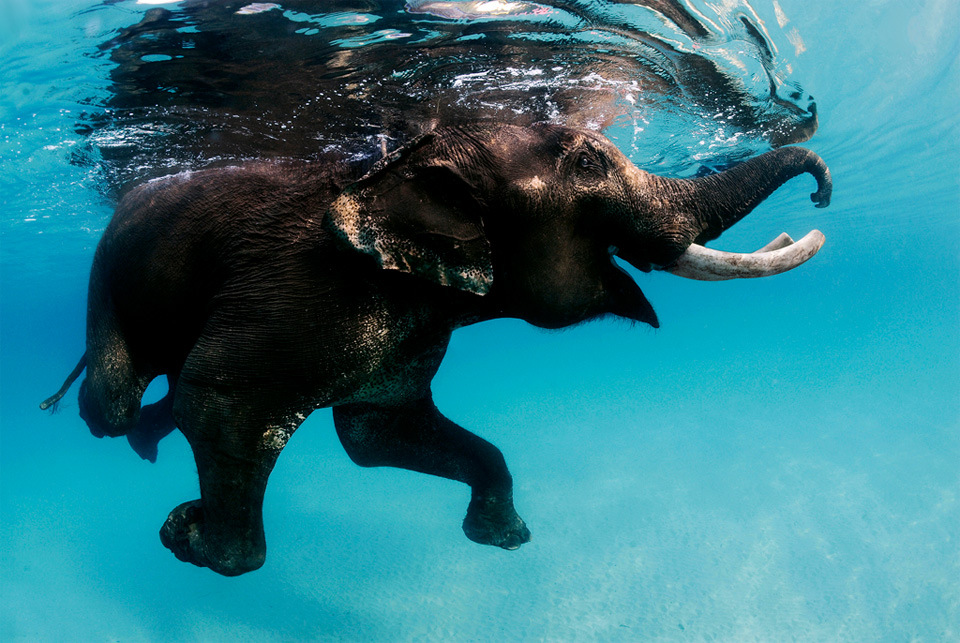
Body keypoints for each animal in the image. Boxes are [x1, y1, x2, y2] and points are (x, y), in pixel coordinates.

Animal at [42, 122, 831, 576]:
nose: (823, 193)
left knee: (161, 391)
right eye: (589, 161)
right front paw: (187, 538)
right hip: (105, 282)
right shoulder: (303, 293)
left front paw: (505, 536)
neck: (393, 168)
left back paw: (149, 435)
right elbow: (223, 403)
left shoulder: (411, 331)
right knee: (111, 401)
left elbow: (375, 433)